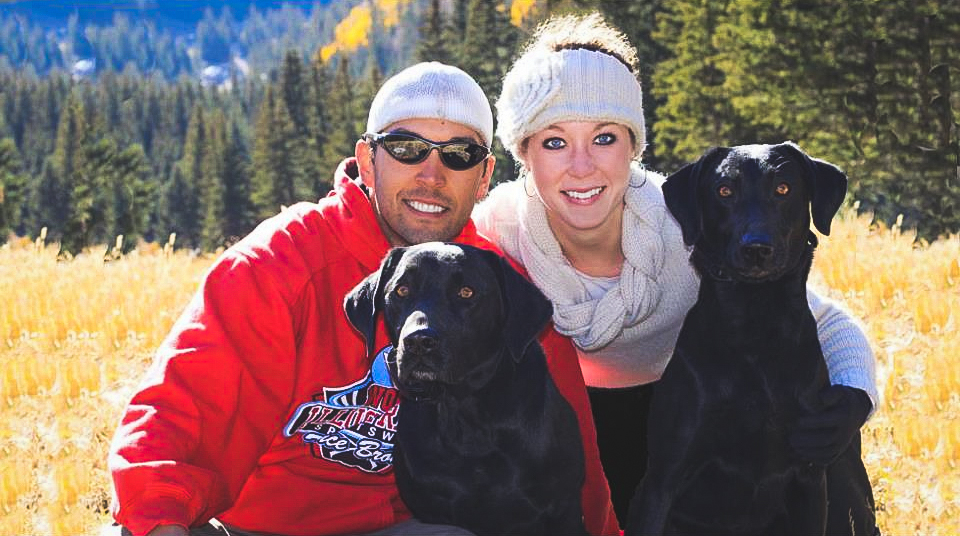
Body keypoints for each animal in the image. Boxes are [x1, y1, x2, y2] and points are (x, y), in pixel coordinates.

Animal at [342, 242, 588, 536]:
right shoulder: (433, 512)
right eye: (402, 290)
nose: (418, 341)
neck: (462, 414)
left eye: (466, 292)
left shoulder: (563, 509)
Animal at [628, 143, 872, 536]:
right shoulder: (661, 480)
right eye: (724, 190)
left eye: (784, 188)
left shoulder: (809, 474)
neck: (756, 325)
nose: (757, 248)